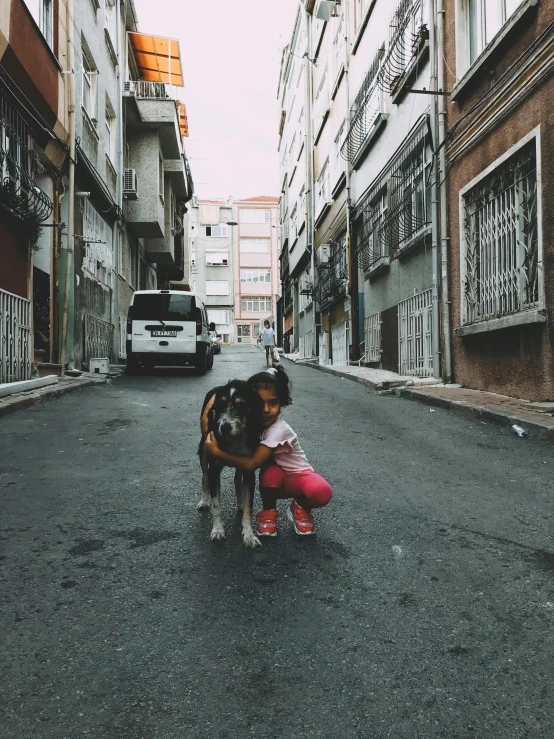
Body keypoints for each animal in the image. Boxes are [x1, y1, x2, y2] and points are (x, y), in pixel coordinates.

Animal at [196, 382, 264, 548]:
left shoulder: (249, 470)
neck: (235, 439)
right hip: (203, 450)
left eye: (240, 405)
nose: (224, 427)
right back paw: (204, 501)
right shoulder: (214, 469)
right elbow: (216, 505)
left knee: (236, 479)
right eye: (220, 405)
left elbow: (248, 507)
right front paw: (217, 530)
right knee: (204, 477)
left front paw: (249, 535)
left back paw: (240, 502)